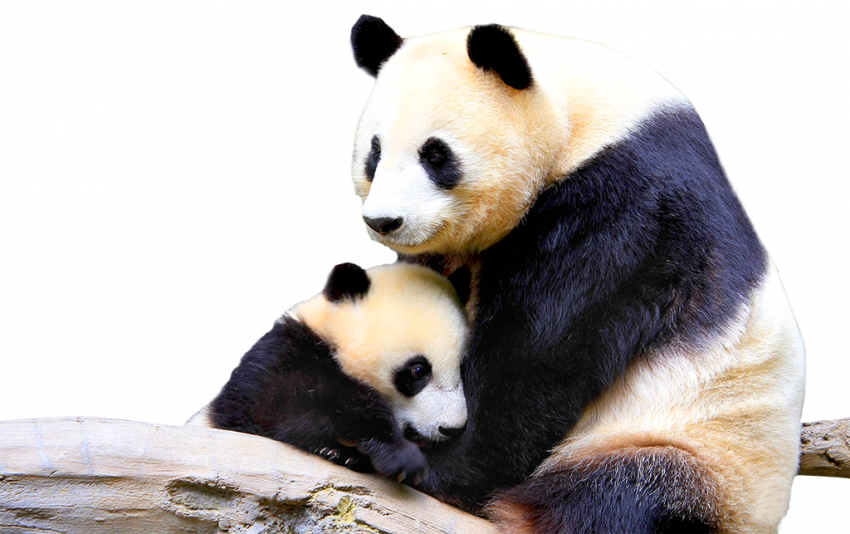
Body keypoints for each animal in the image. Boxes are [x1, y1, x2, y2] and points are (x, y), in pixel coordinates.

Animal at [187, 261, 469, 484]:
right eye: (419, 371)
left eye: (461, 368)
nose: (452, 428)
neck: (330, 334)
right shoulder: (280, 355)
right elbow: (282, 404)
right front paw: (399, 455)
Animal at [347, 15, 807, 534]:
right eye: (375, 153)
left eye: (436, 155)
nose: (385, 221)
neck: (580, 117)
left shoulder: (627, 209)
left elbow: (537, 357)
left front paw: (428, 463)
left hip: (695, 449)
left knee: (622, 497)